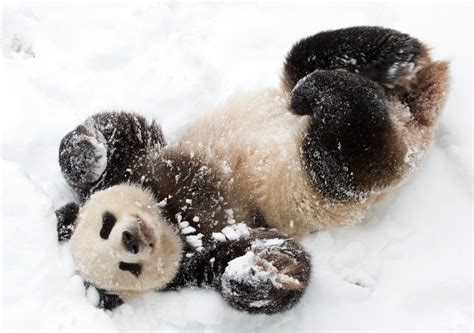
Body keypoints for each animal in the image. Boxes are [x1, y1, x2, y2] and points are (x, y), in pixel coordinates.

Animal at [54, 26, 448, 312]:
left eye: (105, 225)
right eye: (128, 268)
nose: (131, 240)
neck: (172, 216)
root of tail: (412, 116)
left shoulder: (144, 166)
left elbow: (124, 131)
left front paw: (86, 154)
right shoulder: (204, 252)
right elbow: (277, 255)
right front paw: (256, 275)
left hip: (314, 86)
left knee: (311, 54)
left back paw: (390, 63)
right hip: (332, 177)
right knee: (349, 149)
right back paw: (337, 92)